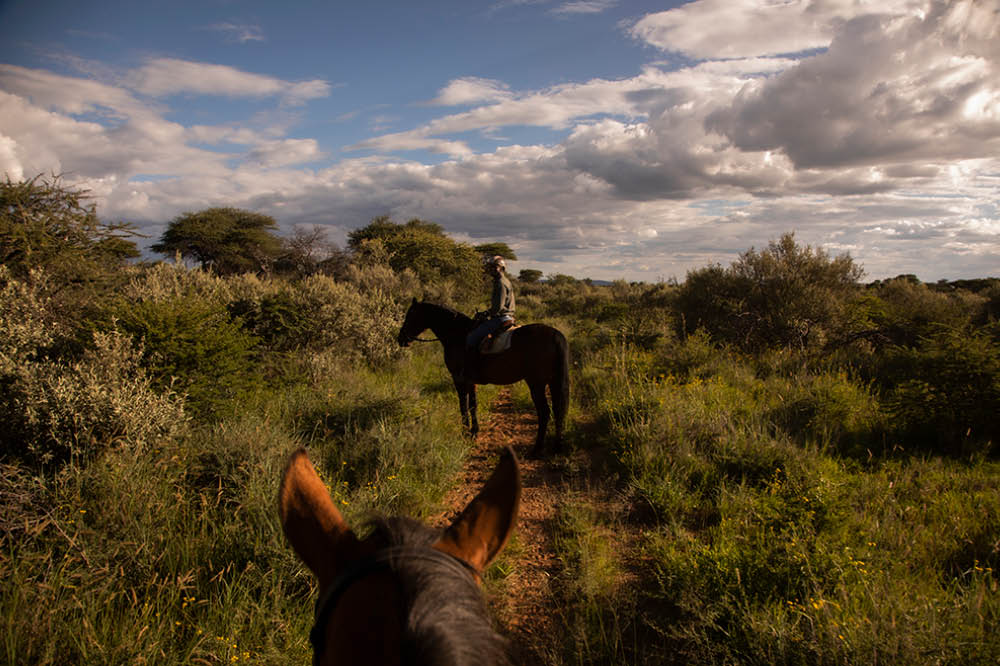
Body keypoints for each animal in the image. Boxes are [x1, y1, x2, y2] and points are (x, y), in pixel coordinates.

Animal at [398, 298, 572, 454]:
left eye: (410, 315)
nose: (401, 339)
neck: (457, 334)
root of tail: (555, 335)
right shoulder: (471, 381)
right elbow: (473, 405)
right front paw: (474, 431)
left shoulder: (459, 379)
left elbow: (463, 405)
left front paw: (465, 432)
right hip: (552, 381)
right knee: (558, 410)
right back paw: (557, 447)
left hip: (536, 383)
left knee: (545, 412)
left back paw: (537, 449)